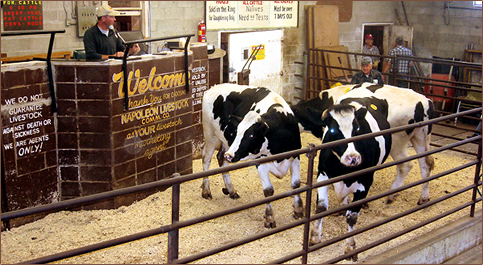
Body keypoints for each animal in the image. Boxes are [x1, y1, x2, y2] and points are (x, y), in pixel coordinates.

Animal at [202, 84, 304, 227]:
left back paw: (231, 190)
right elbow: (268, 190)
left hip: (226, 143)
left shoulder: (295, 157)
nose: (230, 155)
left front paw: (298, 211)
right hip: (210, 135)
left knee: (221, 159)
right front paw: (270, 219)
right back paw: (206, 191)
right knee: (206, 159)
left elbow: (296, 185)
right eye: (237, 131)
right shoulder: (260, 162)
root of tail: (212, 88)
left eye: (251, 135)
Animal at [292, 83, 438, 204]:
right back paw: (424, 197)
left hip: (397, 141)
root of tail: (425, 101)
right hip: (420, 137)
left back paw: (391, 195)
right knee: (426, 164)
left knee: (405, 165)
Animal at [310, 88, 394, 258]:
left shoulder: (365, 182)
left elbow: (352, 217)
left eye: (358, 129)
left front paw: (350, 246)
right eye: (333, 130)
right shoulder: (322, 175)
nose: (353, 158)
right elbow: (321, 208)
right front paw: (315, 237)